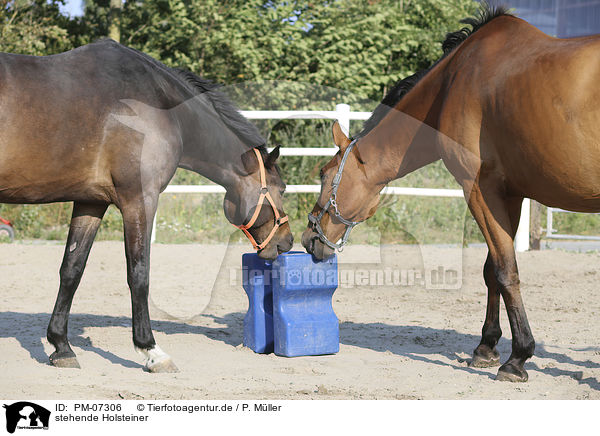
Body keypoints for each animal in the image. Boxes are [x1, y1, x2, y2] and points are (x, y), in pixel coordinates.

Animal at [0, 40, 292, 372]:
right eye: (282, 189)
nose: (287, 241)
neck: (162, 107)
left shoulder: (91, 202)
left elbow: (72, 269)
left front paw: (61, 345)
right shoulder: (140, 200)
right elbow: (139, 273)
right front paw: (151, 349)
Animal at [302, 5, 600, 384]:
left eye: (325, 175)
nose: (309, 237)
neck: (453, 82)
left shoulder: (479, 190)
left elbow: (504, 270)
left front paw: (517, 358)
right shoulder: (509, 195)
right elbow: (492, 271)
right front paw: (486, 347)